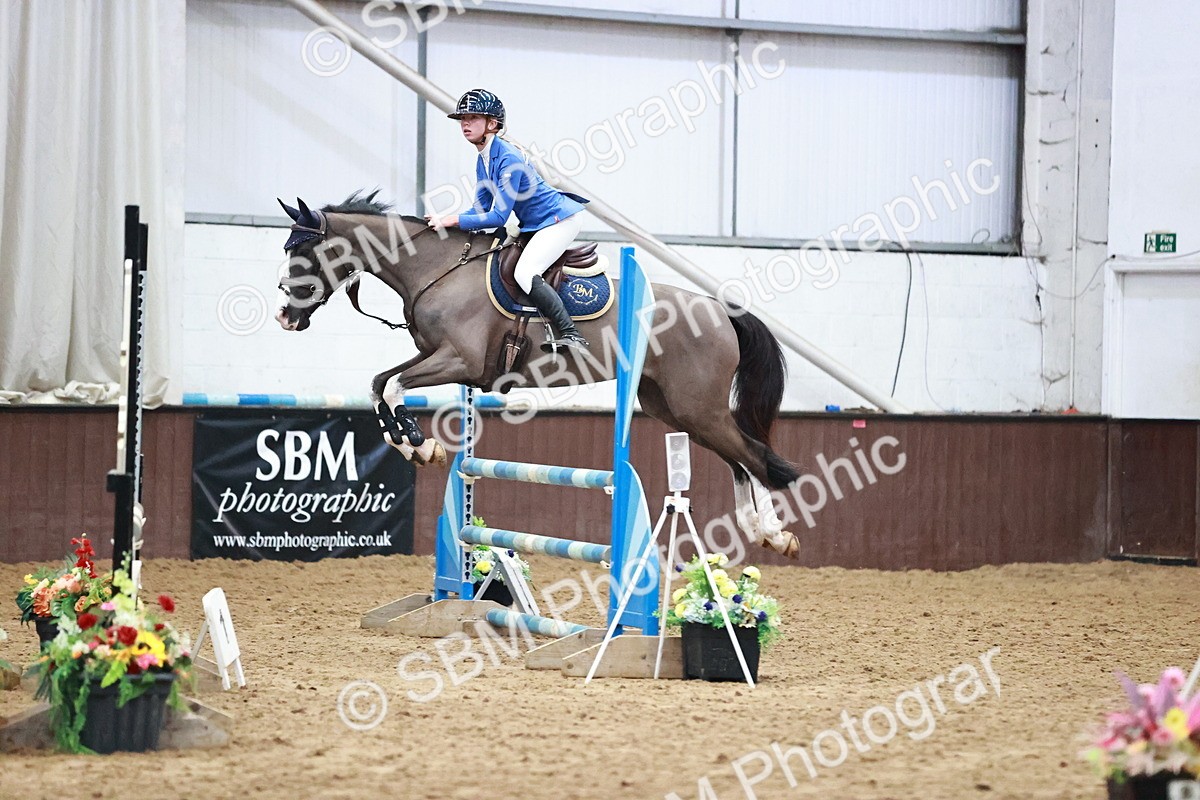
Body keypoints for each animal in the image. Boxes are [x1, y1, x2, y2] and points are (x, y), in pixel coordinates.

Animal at [273, 192, 801, 558]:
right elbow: (380, 384)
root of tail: (719, 309)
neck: (436, 269)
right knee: (738, 459)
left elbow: (396, 385)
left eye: (304, 256)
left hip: (699, 407)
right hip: (673, 408)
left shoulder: (460, 360)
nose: (283, 317)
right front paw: (416, 446)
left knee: (753, 455)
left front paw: (420, 443)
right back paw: (759, 532)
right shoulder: (433, 354)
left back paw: (776, 535)